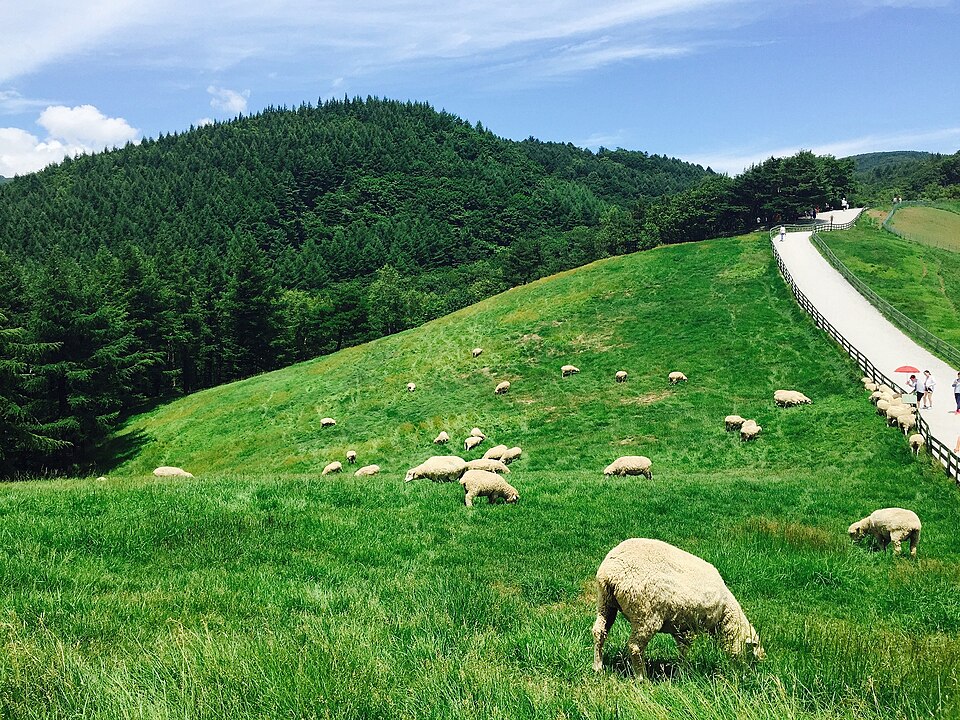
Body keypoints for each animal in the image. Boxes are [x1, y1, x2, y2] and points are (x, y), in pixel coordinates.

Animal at [592, 538, 764, 678]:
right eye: (752, 656)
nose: (749, 676)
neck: (724, 617)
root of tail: (611, 572)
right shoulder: (690, 625)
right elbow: (685, 650)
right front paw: (682, 672)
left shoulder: (680, 627)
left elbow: (683, 650)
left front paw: (681, 671)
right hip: (646, 614)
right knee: (635, 647)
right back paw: (642, 677)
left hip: (605, 602)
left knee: (599, 632)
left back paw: (598, 667)